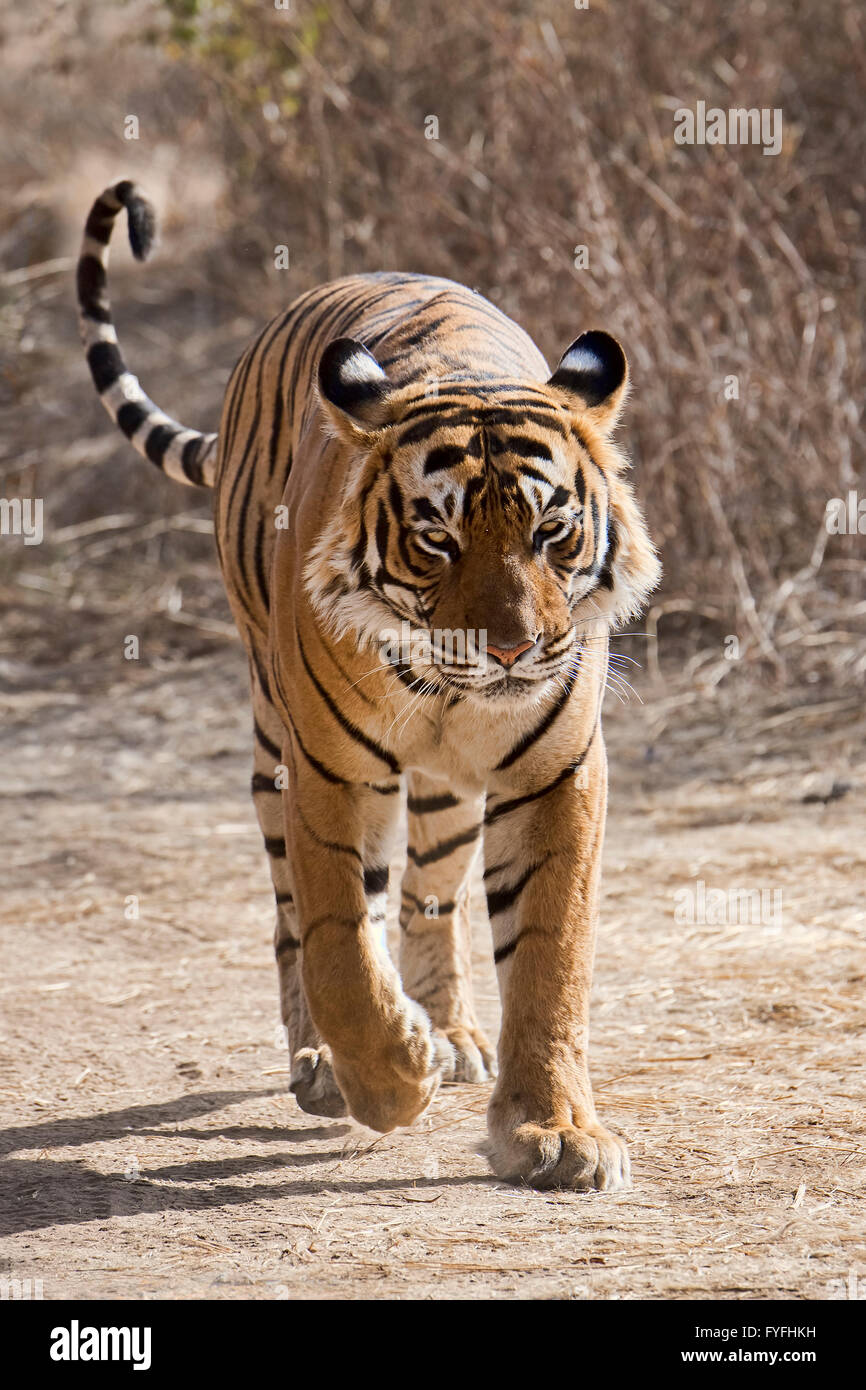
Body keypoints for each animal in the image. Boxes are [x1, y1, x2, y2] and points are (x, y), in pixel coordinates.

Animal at [77, 179, 661, 1189]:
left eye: (551, 531)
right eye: (438, 538)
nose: (513, 651)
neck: (445, 686)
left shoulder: (556, 771)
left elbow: (549, 955)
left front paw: (551, 1131)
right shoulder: (330, 774)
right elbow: (340, 944)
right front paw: (390, 1082)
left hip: (445, 797)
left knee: (429, 898)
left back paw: (455, 1033)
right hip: (274, 744)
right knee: (294, 921)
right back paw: (327, 1063)